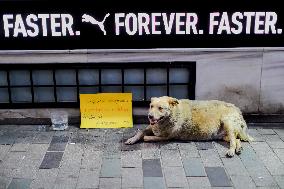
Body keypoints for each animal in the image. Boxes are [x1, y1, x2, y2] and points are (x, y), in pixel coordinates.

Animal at [125, 96, 254, 157]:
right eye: (151, 106)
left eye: (160, 108)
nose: (150, 116)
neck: (173, 114)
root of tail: (238, 109)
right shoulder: (152, 127)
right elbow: (140, 132)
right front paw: (132, 139)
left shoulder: (166, 137)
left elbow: (147, 138)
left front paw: (144, 138)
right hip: (224, 134)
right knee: (236, 139)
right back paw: (238, 149)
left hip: (228, 123)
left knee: (233, 140)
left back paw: (232, 150)